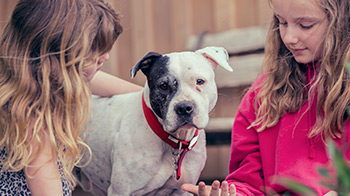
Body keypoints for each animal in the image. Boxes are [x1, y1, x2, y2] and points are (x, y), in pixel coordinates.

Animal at [74, 46, 232, 195]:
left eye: (200, 81)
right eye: (163, 86)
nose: (184, 107)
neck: (172, 141)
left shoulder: (182, 191)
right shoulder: (121, 191)